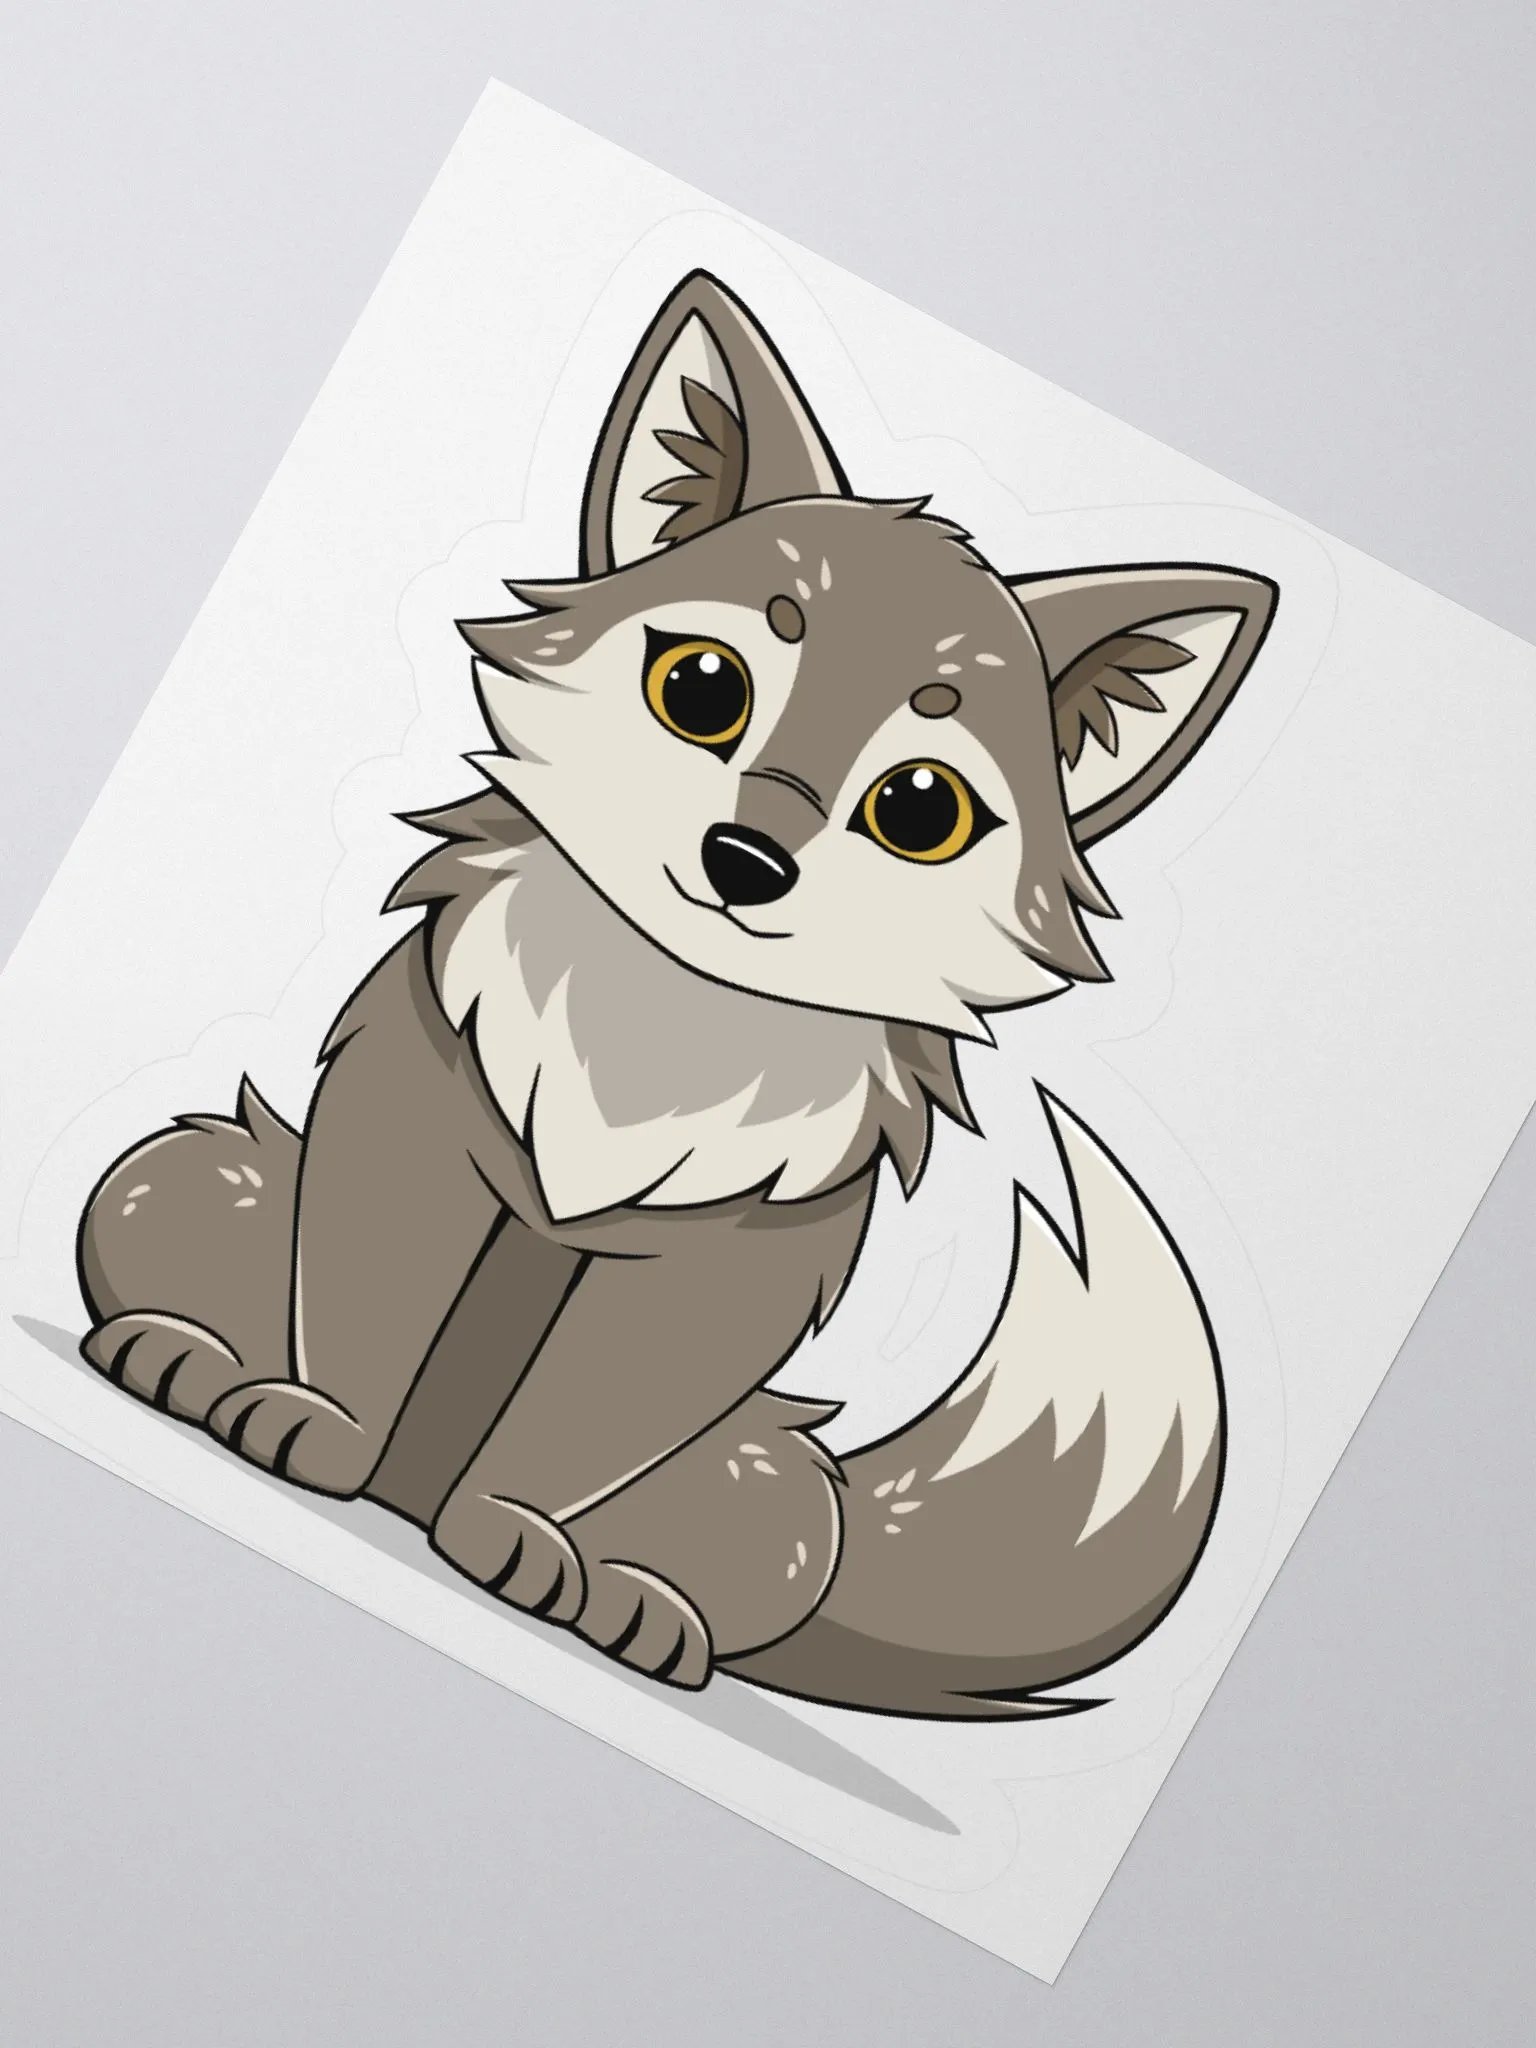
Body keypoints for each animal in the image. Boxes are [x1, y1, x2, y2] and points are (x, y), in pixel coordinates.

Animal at [75, 272, 1275, 1718]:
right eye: (702, 686)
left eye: (919, 808)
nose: (746, 860)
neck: (664, 1019)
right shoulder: (409, 1126)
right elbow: (365, 1302)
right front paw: (314, 1424)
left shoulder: (713, 1280)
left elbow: (577, 1426)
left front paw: (526, 1542)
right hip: (196, 1176)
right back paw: (189, 1356)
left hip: (772, 1488)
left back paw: (641, 1605)